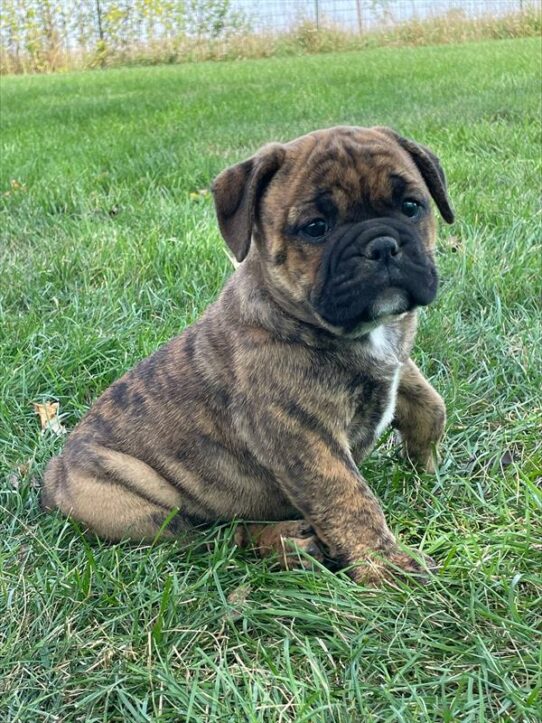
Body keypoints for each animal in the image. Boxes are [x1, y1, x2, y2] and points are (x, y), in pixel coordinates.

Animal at [42, 127, 456, 584]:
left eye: (411, 206)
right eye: (315, 228)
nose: (382, 246)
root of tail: (54, 477)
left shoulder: (396, 365)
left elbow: (430, 405)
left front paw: (424, 464)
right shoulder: (306, 438)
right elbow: (350, 499)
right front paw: (387, 567)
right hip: (133, 500)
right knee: (211, 538)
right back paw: (286, 542)